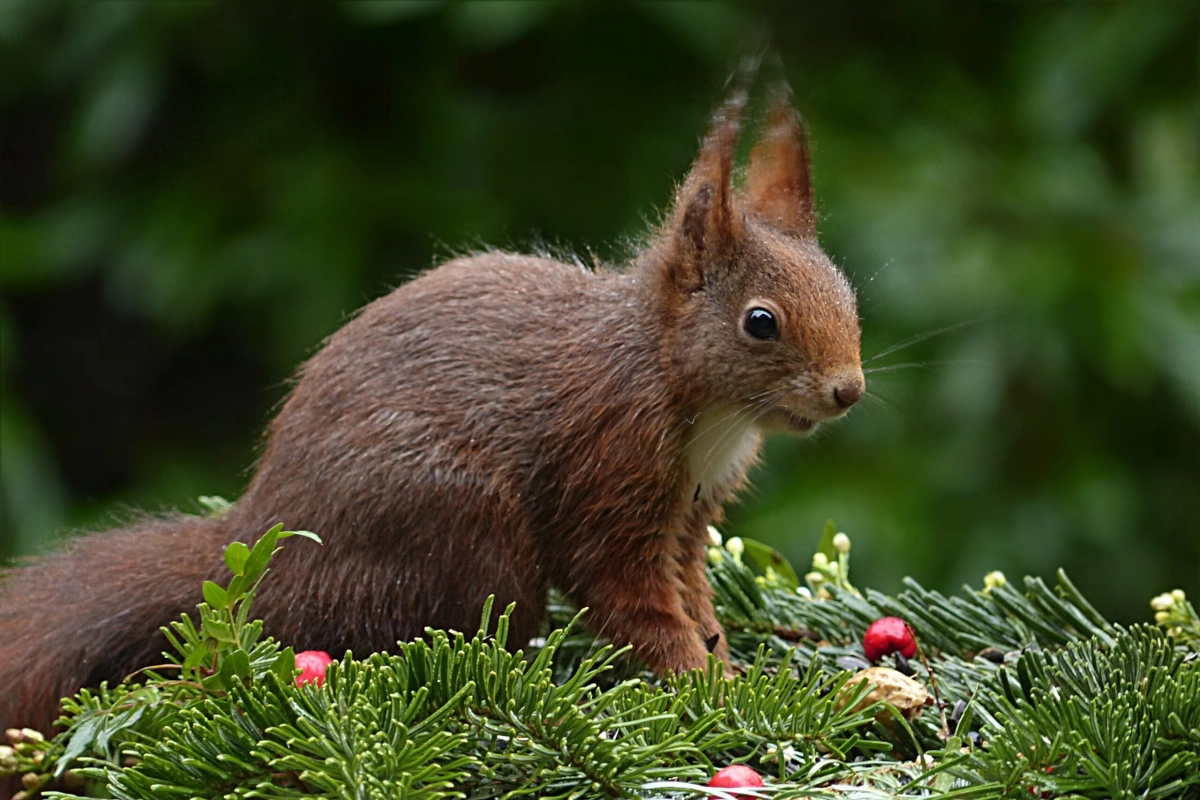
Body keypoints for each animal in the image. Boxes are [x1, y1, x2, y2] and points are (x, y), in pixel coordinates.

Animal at [0, 79, 864, 734]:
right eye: (760, 322)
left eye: (847, 292)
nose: (847, 390)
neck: (690, 393)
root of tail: (264, 540)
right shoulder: (607, 471)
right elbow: (633, 600)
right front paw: (704, 685)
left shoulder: (691, 513)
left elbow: (694, 594)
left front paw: (734, 667)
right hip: (461, 528)